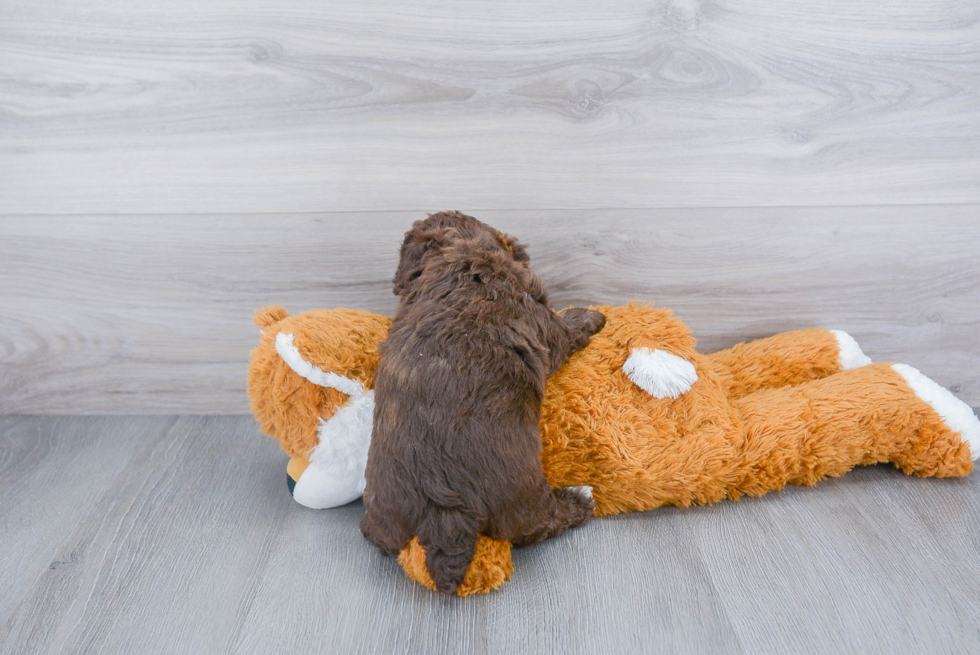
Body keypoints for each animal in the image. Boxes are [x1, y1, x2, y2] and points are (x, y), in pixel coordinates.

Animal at [360, 210, 604, 596]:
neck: (461, 254)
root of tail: (444, 512)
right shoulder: (545, 325)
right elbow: (566, 327)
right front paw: (592, 315)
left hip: (385, 511)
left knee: (378, 537)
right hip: (522, 501)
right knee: (541, 525)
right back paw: (580, 499)